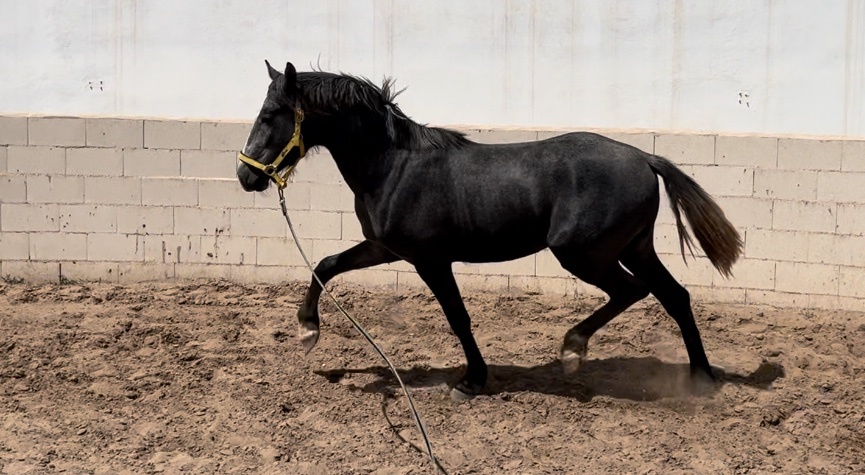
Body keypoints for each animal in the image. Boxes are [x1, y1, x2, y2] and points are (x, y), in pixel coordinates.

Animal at [236, 60, 743, 400]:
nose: (246, 176)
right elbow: (325, 265)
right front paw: (307, 331)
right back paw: (701, 378)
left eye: (270, 115)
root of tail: (643, 157)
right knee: (674, 295)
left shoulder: (429, 259)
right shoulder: (385, 248)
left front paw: (472, 381)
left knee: (632, 291)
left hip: (583, 252)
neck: (393, 166)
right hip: (634, 247)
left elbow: (458, 317)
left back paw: (573, 350)